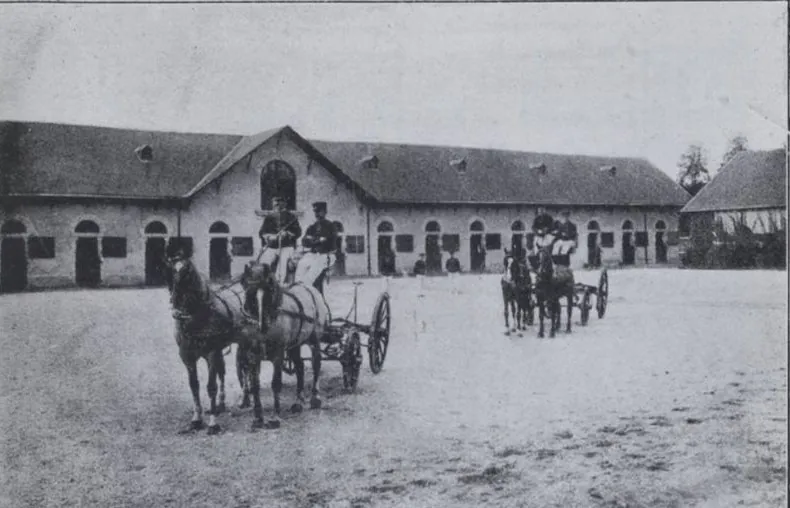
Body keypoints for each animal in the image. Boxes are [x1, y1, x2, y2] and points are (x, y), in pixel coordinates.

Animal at [238, 260, 332, 430]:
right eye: (249, 293)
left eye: (269, 290)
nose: (262, 326)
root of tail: (310, 287)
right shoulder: (253, 355)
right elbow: (255, 386)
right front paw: (258, 417)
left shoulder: (278, 354)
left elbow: (276, 383)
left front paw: (274, 417)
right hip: (295, 345)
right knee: (300, 366)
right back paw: (298, 402)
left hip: (314, 340)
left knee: (316, 364)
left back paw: (315, 397)